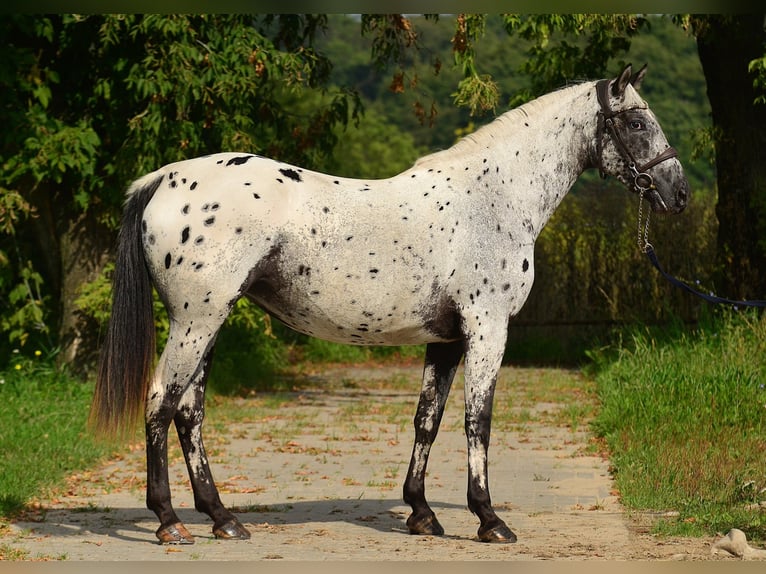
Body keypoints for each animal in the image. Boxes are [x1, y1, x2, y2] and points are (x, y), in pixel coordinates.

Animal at [91, 64, 688, 545]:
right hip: (197, 319)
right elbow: (478, 420)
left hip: (209, 321)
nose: (677, 192)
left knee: (188, 412)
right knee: (160, 403)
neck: (493, 198)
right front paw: (489, 520)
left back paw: (222, 518)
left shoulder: (446, 339)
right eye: (637, 123)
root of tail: (165, 178)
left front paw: (422, 514)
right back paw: (169, 522)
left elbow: (428, 419)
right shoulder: (487, 330)